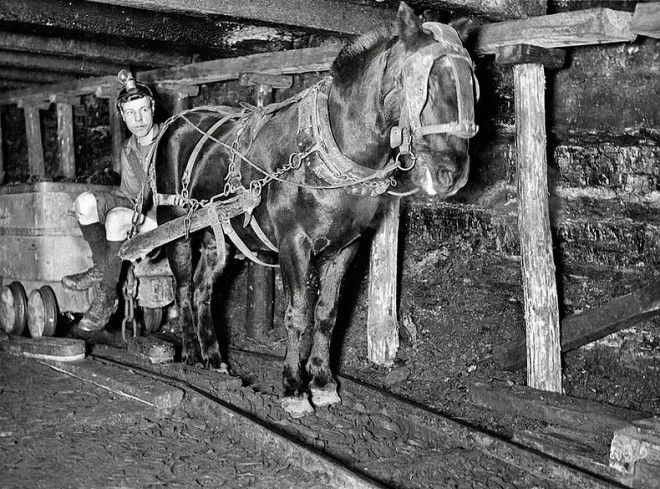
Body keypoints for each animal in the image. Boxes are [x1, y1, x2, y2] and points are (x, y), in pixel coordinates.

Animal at [153, 2, 476, 416]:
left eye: (470, 86)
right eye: (427, 86)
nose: (453, 174)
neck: (332, 150)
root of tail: (179, 121)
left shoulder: (346, 247)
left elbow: (326, 314)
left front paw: (322, 382)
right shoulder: (294, 244)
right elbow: (298, 315)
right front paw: (293, 388)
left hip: (216, 236)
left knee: (202, 290)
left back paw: (214, 359)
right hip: (176, 227)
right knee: (181, 287)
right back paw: (192, 354)